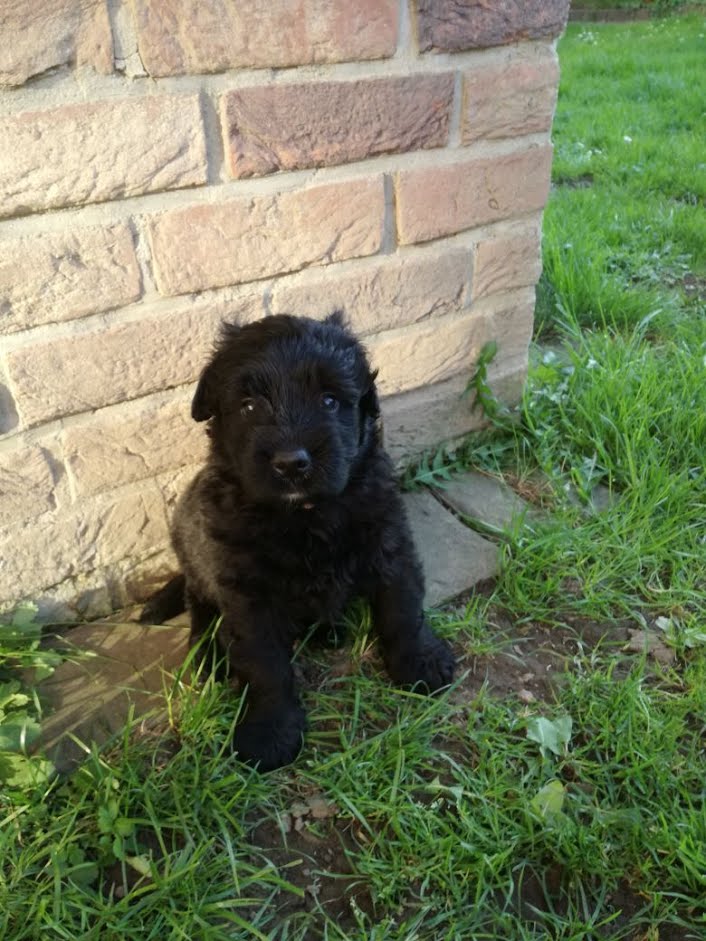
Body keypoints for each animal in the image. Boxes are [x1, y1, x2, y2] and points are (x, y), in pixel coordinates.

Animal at [142, 312, 452, 768]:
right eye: (249, 406)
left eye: (329, 401)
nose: (291, 463)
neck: (306, 514)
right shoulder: (246, 591)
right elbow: (265, 662)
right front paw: (271, 732)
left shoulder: (389, 542)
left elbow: (403, 609)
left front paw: (422, 663)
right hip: (194, 552)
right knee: (198, 604)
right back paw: (207, 656)